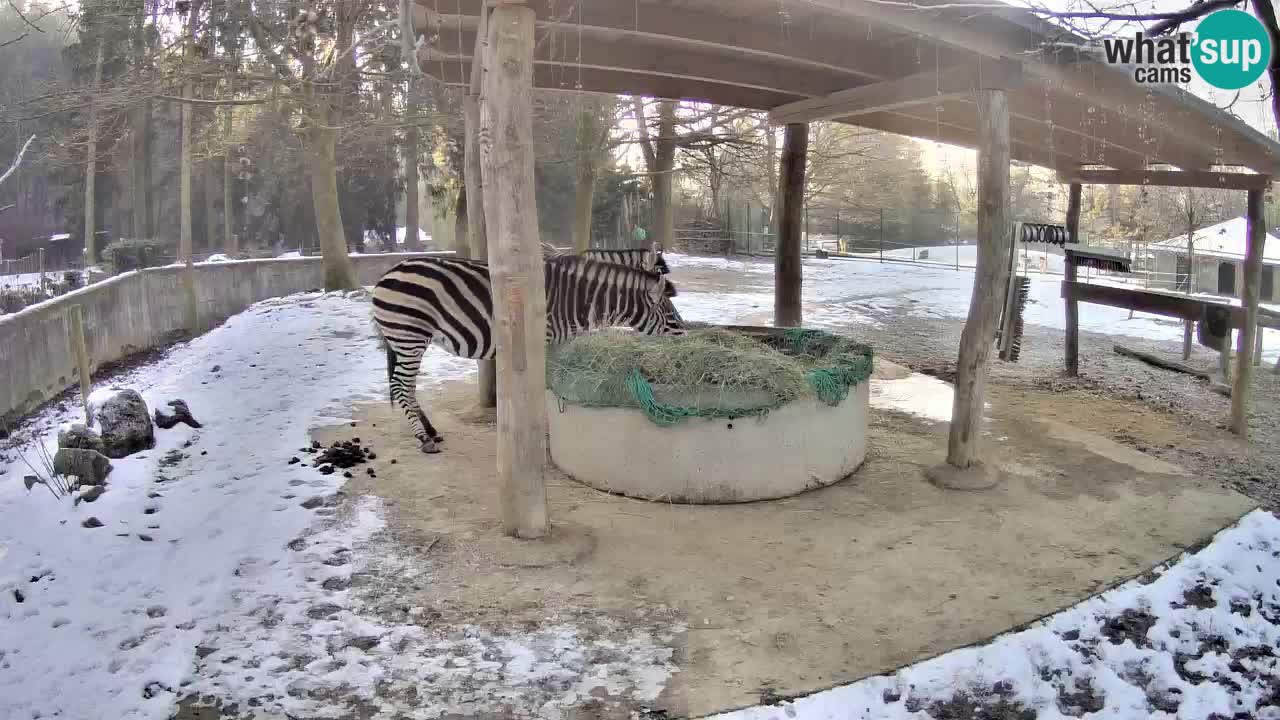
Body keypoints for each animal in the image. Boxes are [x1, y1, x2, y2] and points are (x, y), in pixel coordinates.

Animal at [373, 254, 686, 450]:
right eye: (671, 315)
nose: (686, 337)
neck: (578, 300)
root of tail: (387, 273)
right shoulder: (542, 340)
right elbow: (542, 386)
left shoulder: (556, 343)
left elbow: (557, 383)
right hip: (409, 335)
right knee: (400, 386)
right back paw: (423, 438)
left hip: (405, 340)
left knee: (406, 386)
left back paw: (431, 432)